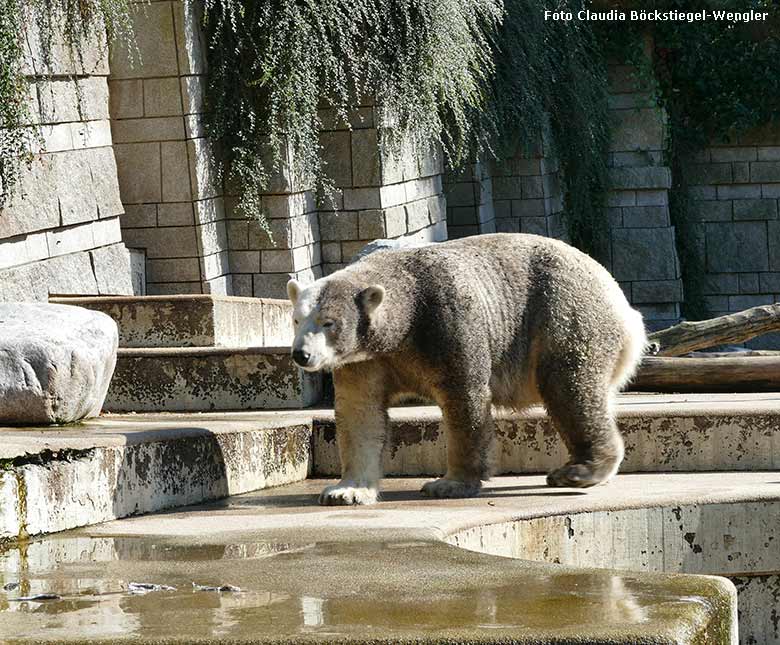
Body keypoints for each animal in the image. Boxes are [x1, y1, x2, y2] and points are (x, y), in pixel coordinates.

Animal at [286, 234, 644, 506]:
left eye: (328, 322)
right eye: (296, 319)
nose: (301, 354)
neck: (407, 317)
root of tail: (621, 302)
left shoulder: (448, 319)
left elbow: (464, 399)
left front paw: (448, 484)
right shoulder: (364, 361)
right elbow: (360, 412)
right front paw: (345, 491)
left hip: (564, 314)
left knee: (569, 386)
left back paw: (577, 471)